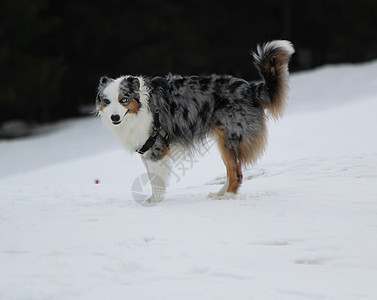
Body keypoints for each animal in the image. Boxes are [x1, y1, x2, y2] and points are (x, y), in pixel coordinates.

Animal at [94, 40, 294, 202]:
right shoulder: (146, 150)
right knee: (233, 171)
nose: (114, 117)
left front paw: (153, 204)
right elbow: (152, 178)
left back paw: (227, 196)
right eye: (107, 101)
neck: (142, 107)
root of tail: (250, 88)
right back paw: (219, 193)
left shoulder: (156, 149)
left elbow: (156, 181)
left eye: (124, 100)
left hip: (229, 138)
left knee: (236, 173)